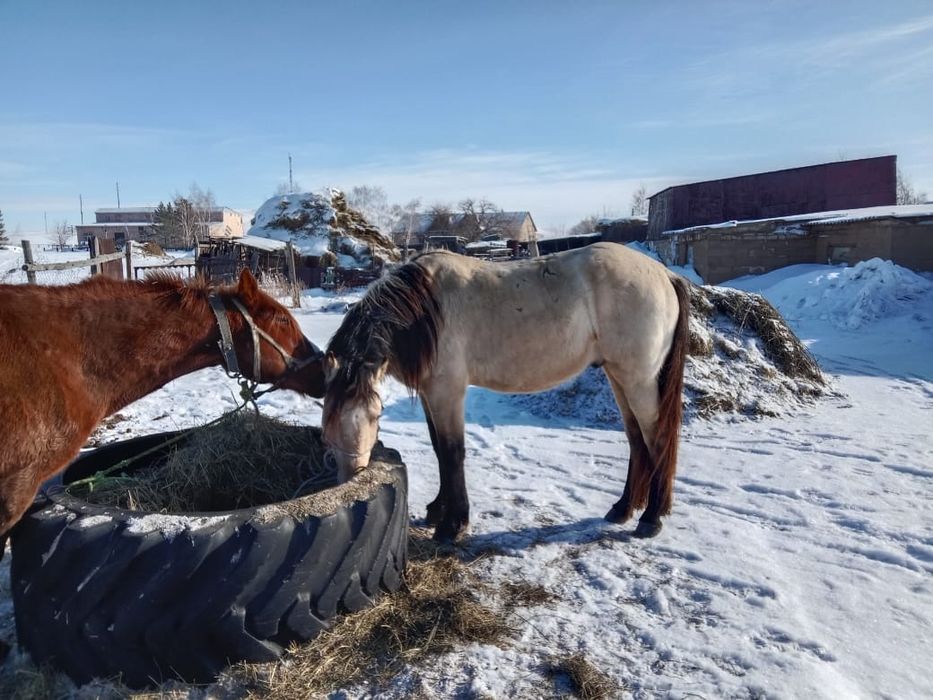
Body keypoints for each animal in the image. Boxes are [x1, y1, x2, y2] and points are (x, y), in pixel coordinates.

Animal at [322, 242, 690, 542]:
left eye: (375, 415)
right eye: (327, 427)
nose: (352, 480)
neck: (424, 309)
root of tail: (666, 274)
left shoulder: (447, 392)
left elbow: (452, 453)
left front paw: (453, 525)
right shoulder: (430, 394)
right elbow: (440, 450)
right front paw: (438, 510)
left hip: (638, 380)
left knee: (657, 440)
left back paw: (650, 519)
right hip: (618, 377)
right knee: (636, 441)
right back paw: (623, 509)